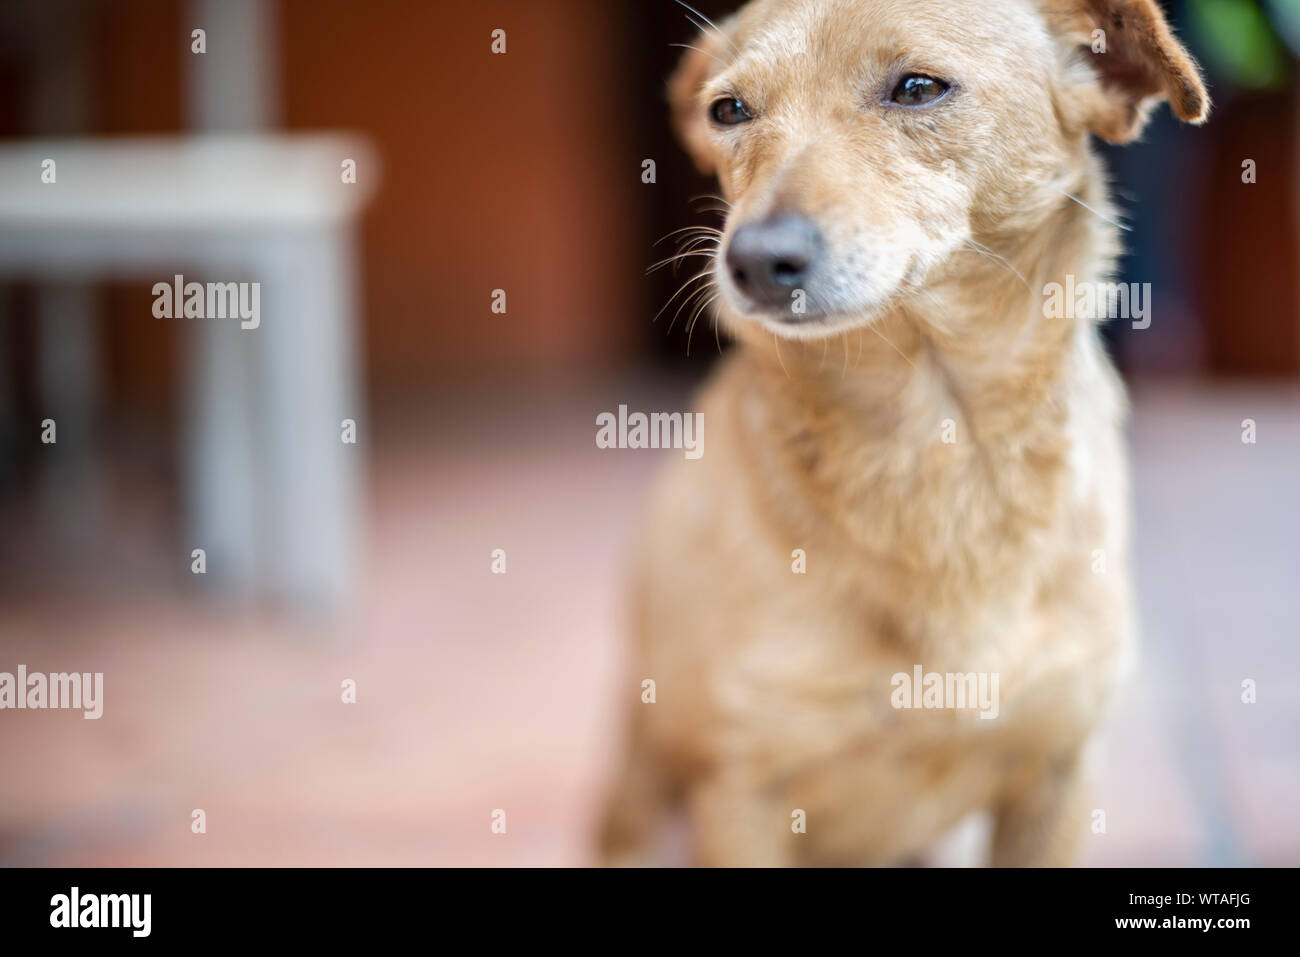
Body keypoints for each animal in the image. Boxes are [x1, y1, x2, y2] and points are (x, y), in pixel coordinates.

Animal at [598, 0, 1206, 868]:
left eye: (918, 87)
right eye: (729, 111)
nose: (753, 260)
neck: (937, 434)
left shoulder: (1059, 771)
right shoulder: (738, 792)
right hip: (643, 791)